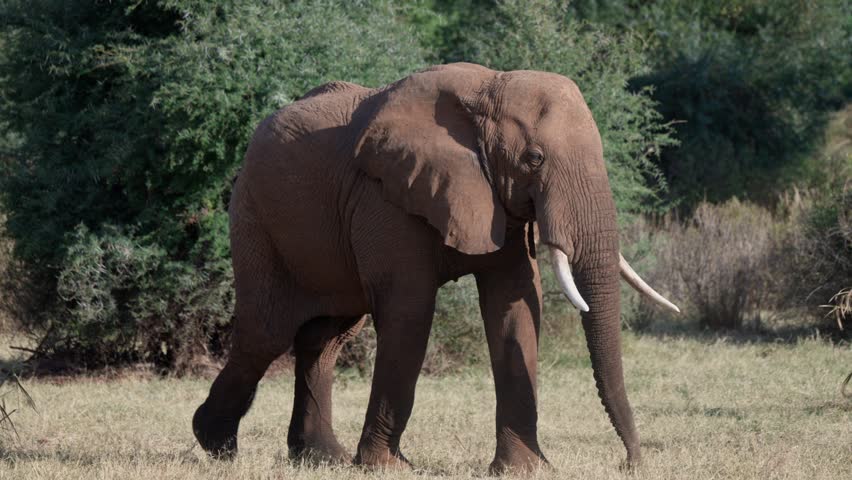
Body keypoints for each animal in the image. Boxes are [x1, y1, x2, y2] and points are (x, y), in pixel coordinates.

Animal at [191, 62, 679, 473]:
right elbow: (409, 309)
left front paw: (525, 470)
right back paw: (216, 445)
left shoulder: (492, 198)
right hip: (255, 217)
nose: (631, 463)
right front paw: (388, 469)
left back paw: (321, 458)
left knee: (326, 338)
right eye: (534, 158)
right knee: (266, 333)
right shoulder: (387, 197)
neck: (489, 89)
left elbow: (516, 303)